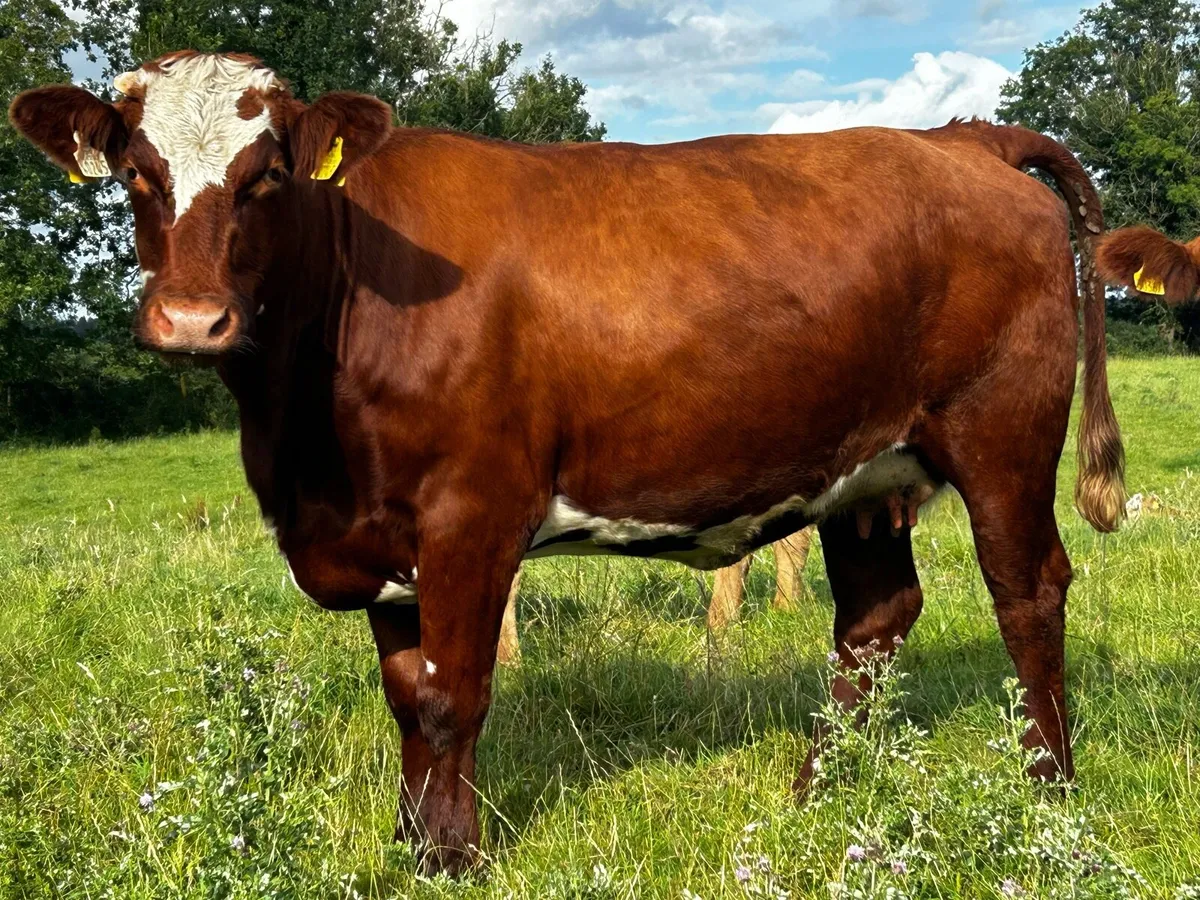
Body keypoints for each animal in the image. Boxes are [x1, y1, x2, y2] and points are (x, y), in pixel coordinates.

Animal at [10, 51, 1127, 875]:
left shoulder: (471, 515)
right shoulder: (379, 534)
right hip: (864, 472)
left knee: (1028, 589)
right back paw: (815, 798)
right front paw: (412, 842)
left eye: (267, 175)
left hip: (1002, 435)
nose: (191, 320)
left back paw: (1050, 795)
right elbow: (407, 693)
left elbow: (452, 696)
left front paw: (451, 858)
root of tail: (963, 137)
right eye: (136, 173)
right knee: (875, 620)